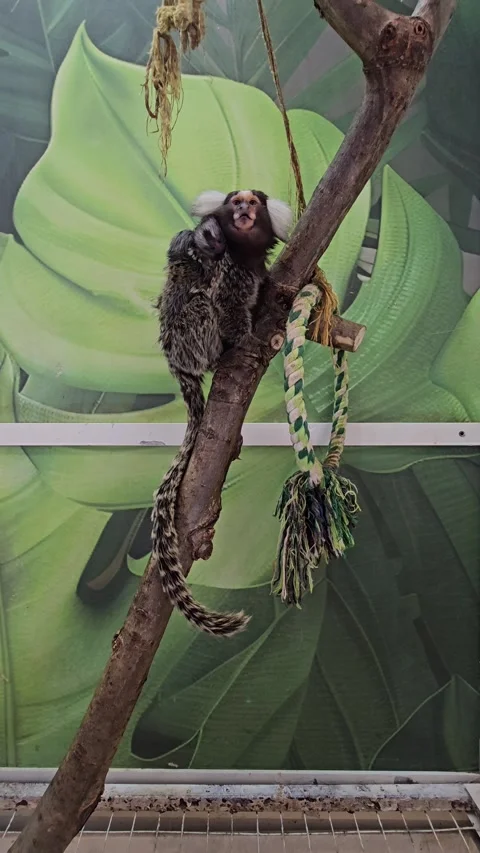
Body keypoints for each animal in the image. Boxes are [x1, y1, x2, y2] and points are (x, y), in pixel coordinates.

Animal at [151, 189, 293, 637]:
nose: (245, 210)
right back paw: (222, 354)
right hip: (190, 340)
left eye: (254, 203)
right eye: (236, 203)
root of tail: (176, 364)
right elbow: (226, 305)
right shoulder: (231, 274)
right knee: (199, 305)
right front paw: (245, 340)